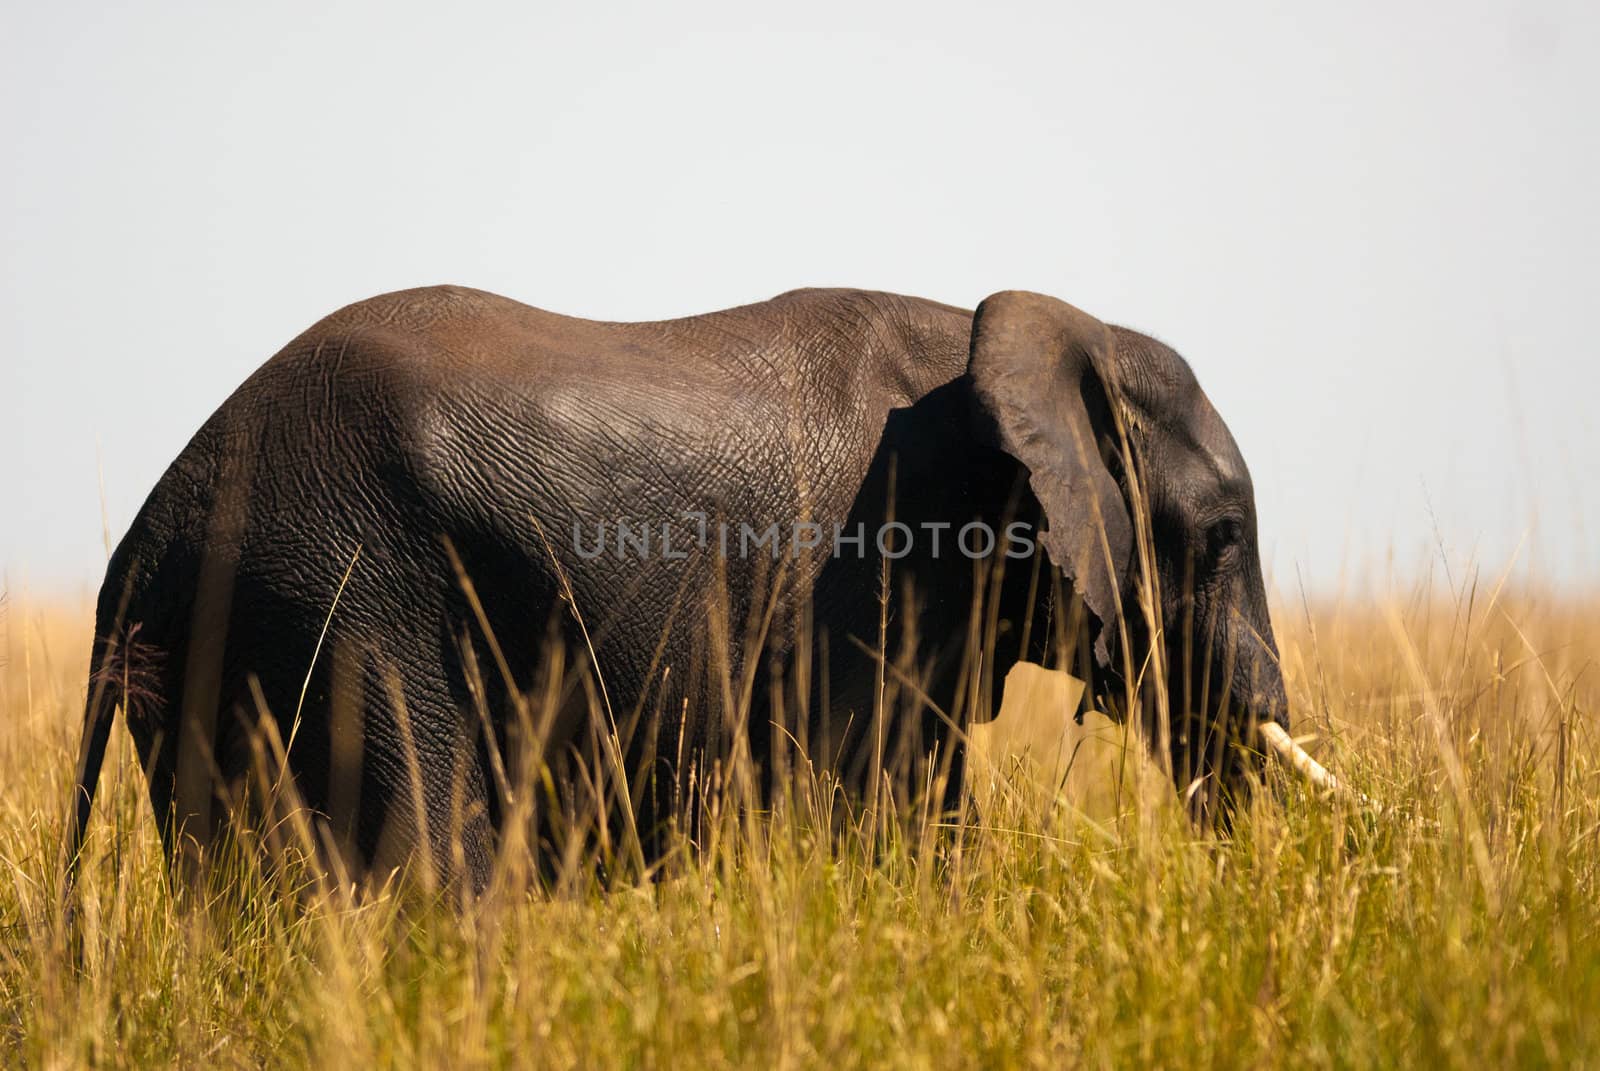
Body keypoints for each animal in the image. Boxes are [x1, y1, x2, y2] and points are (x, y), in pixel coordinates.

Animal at [65, 283, 1312, 896]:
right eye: (1222, 535)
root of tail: (151, 528)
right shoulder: (872, 576)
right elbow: (887, 817)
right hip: (340, 605)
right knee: (431, 875)